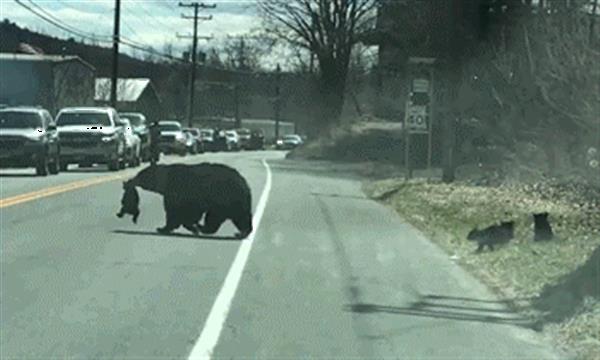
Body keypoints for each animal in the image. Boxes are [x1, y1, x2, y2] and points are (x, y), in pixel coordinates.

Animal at [117, 163, 253, 239]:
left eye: (141, 174)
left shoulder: (178, 191)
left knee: (216, 217)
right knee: (239, 217)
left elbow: (176, 212)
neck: (166, 179)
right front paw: (190, 226)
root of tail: (246, 185)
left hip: (225, 198)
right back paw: (242, 232)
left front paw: (162, 228)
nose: (130, 181)